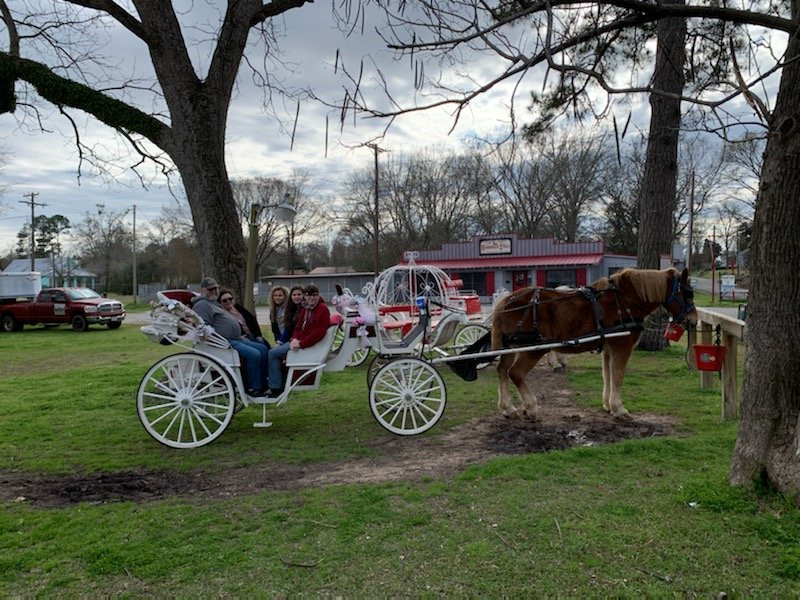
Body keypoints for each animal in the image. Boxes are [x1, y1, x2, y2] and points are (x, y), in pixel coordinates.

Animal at [488, 268, 692, 418]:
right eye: (688, 293)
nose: (693, 320)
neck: (623, 301)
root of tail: (506, 301)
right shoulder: (622, 346)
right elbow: (618, 375)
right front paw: (619, 408)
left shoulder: (609, 348)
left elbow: (607, 374)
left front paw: (608, 405)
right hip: (533, 349)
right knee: (516, 373)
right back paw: (531, 406)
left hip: (511, 347)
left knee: (502, 371)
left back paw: (508, 407)